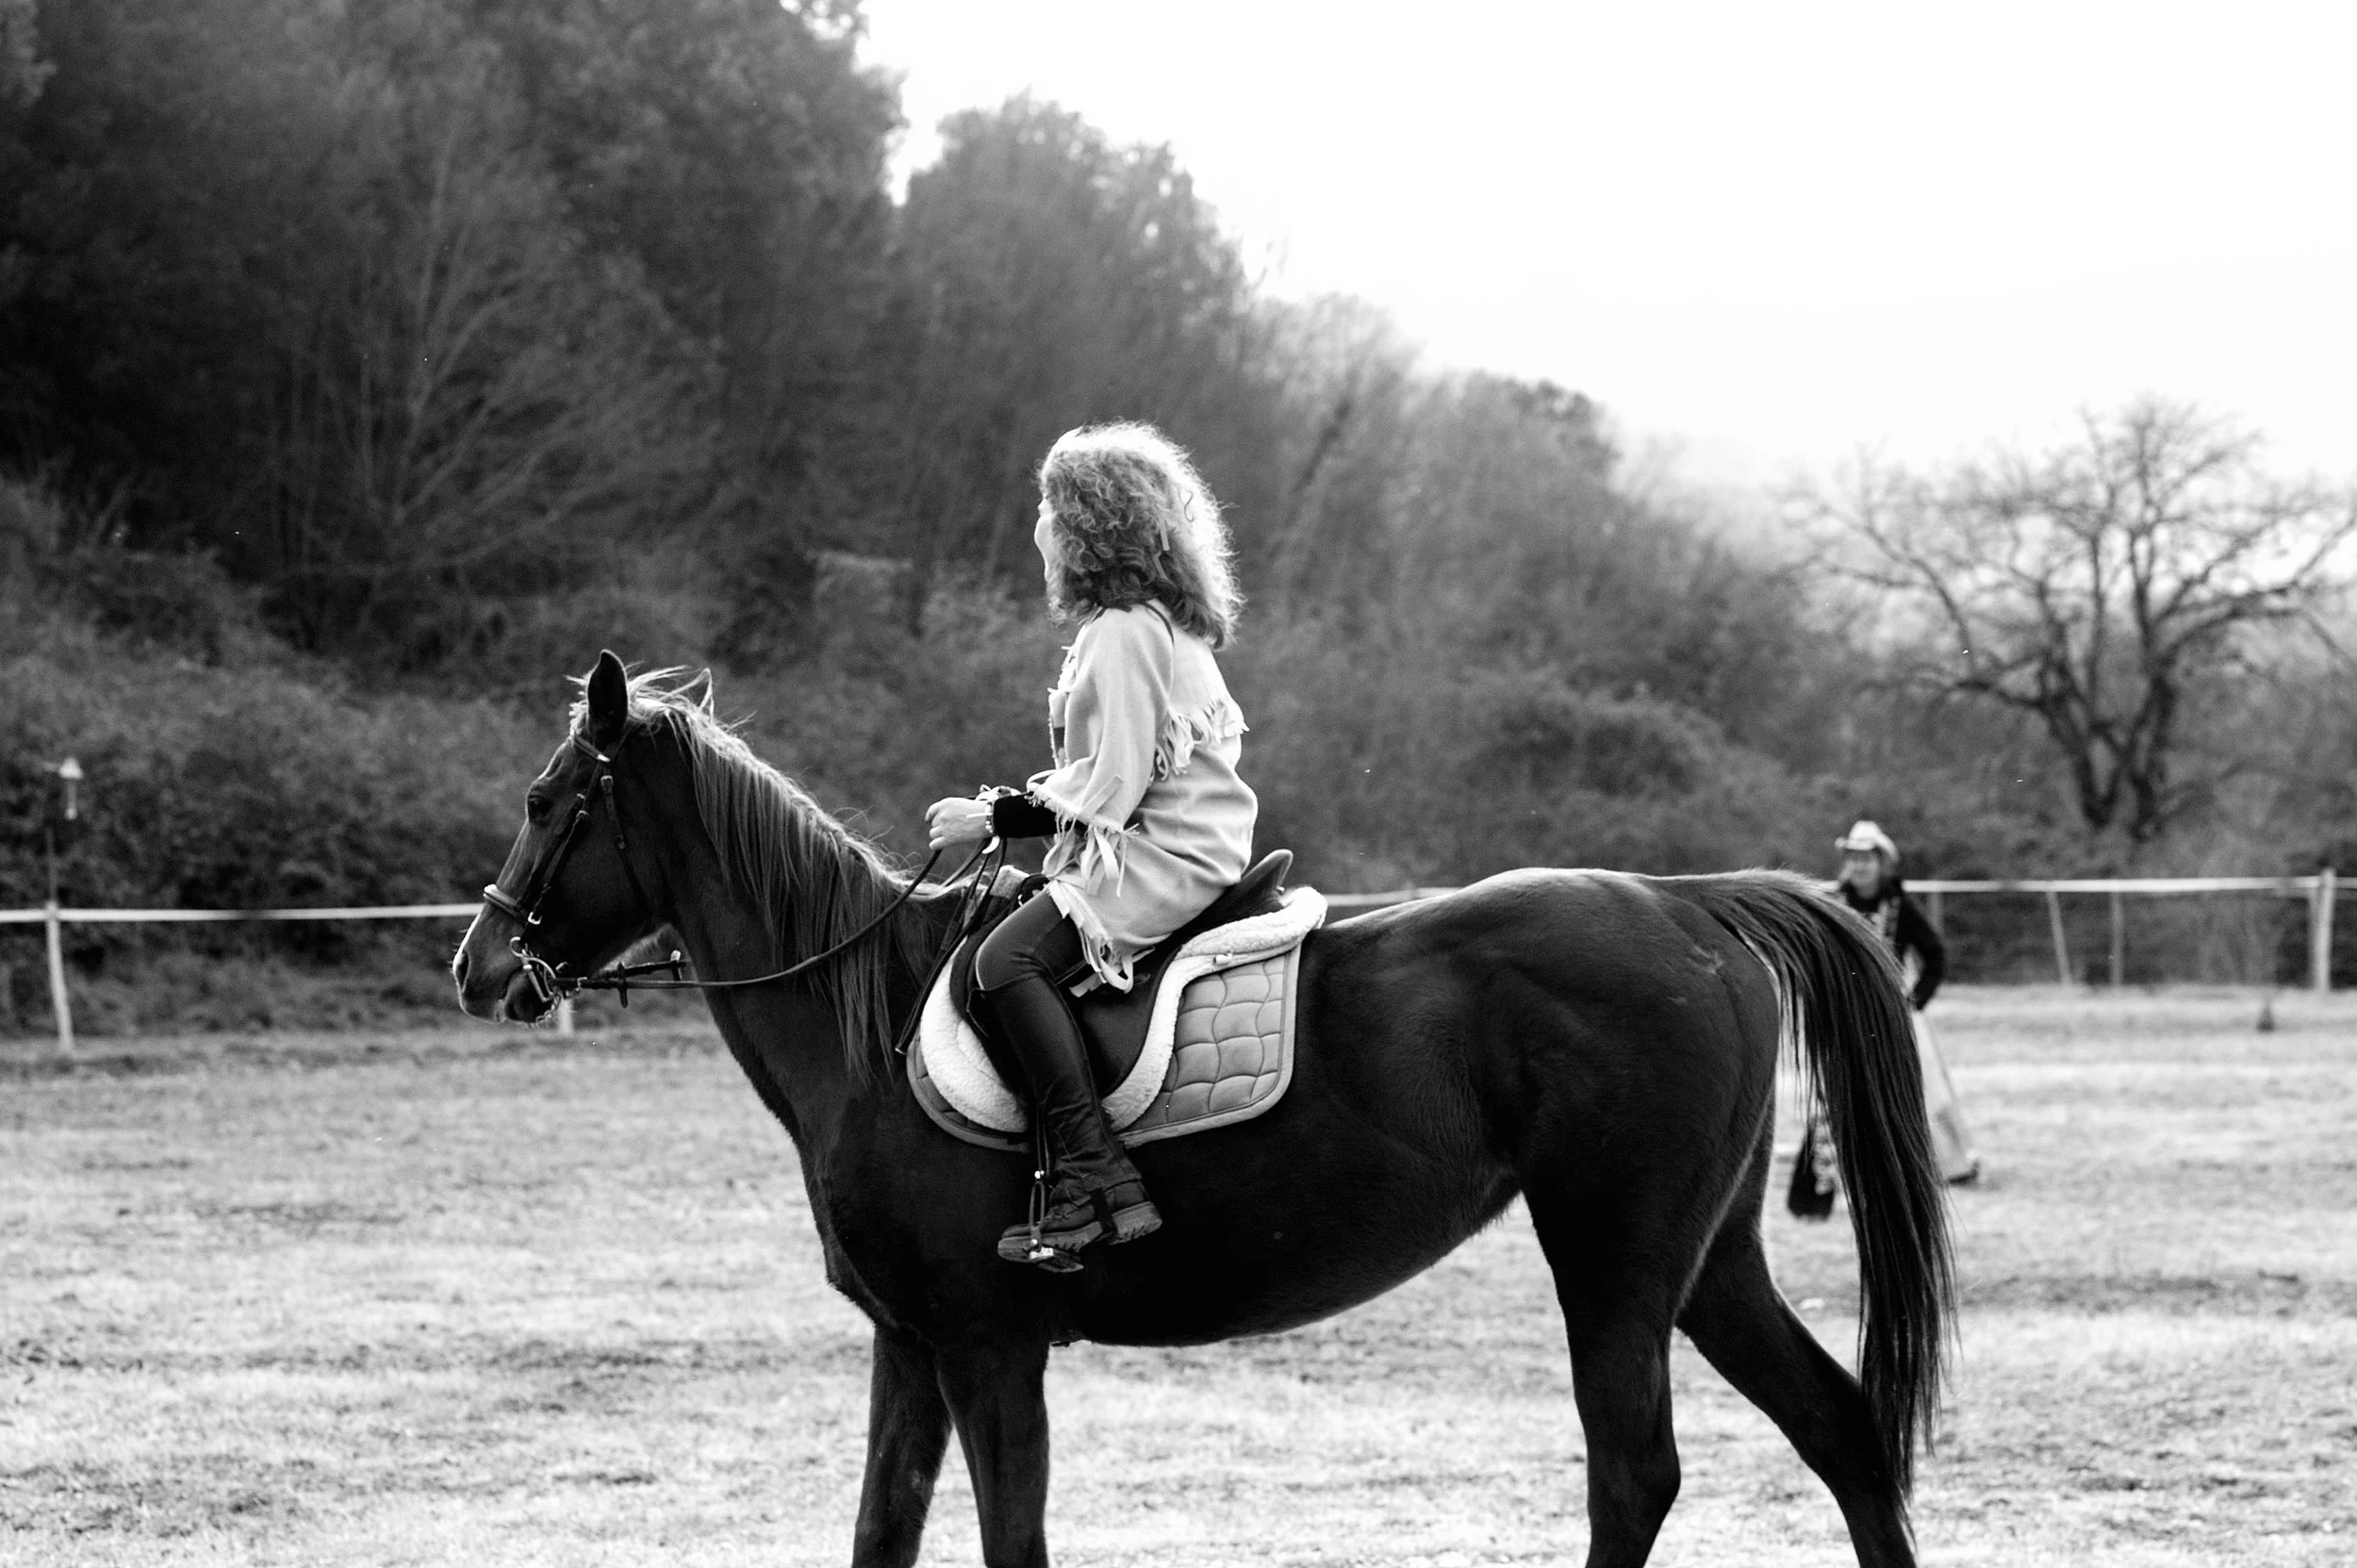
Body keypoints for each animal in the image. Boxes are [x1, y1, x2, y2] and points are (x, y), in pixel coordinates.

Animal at [452, 652, 1953, 1568]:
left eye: (546, 797)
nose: (476, 967)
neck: (864, 1027)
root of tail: (1689, 904)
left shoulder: (990, 1344)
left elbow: (1009, 1539)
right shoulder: (910, 1343)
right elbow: (885, 1532)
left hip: (1615, 1259)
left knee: (1634, 1470)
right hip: (1711, 1258)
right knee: (1836, 1424)